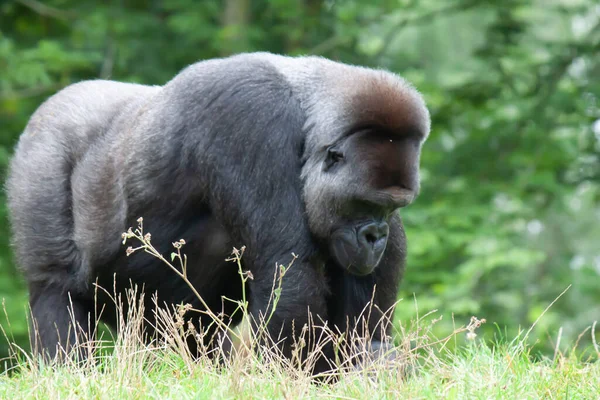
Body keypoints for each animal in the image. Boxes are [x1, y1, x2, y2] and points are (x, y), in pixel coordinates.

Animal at [4, 51, 428, 374]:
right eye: (366, 203)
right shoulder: (249, 115)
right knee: (55, 287)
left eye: (390, 207)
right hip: (43, 149)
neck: (304, 102)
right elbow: (287, 270)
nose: (375, 236)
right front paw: (301, 377)